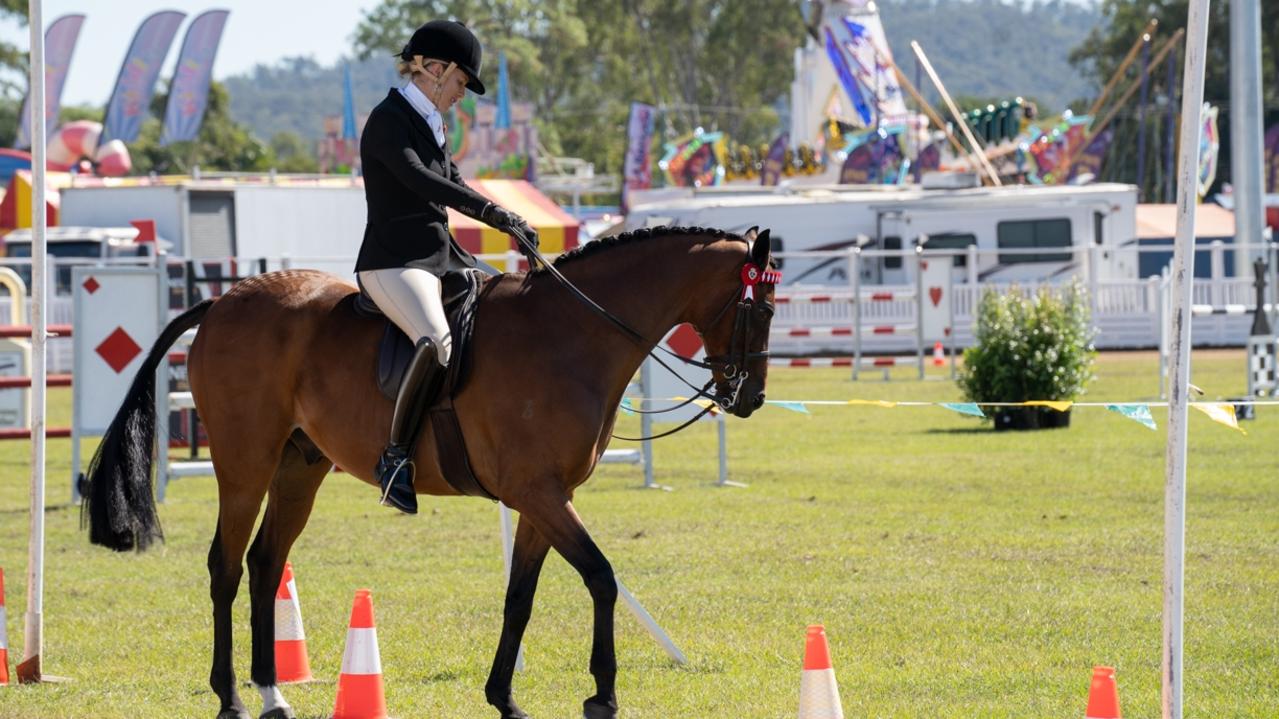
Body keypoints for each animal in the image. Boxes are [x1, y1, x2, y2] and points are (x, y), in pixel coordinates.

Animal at [85, 225, 777, 716]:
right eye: (762, 309)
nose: (749, 399)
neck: (570, 334)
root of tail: (223, 301)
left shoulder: (541, 499)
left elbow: (520, 597)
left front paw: (505, 697)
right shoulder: (540, 493)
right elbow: (602, 577)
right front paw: (602, 696)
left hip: (299, 469)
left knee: (264, 563)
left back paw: (272, 695)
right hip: (244, 464)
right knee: (226, 566)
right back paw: (230, 697)